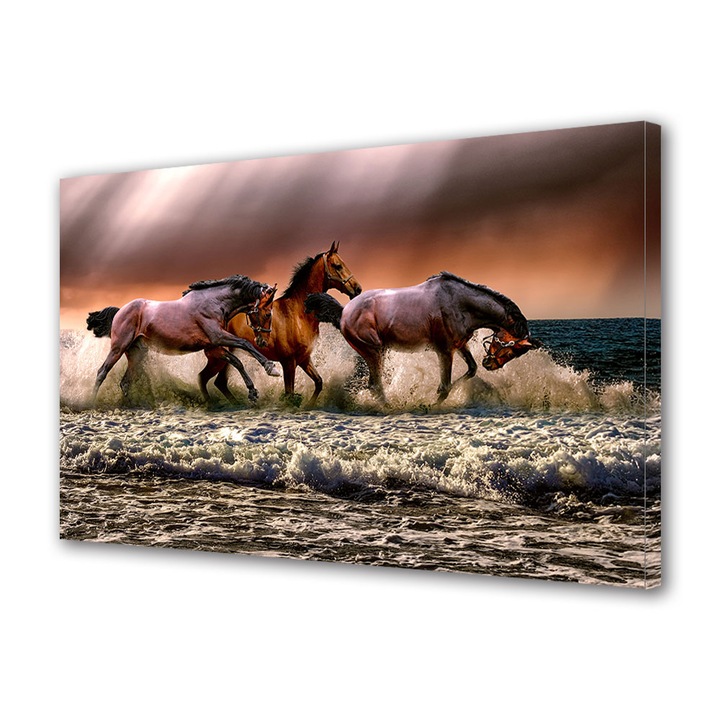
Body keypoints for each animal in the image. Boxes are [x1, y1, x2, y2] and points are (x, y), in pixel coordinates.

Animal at [86, 275, 280, 405]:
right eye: (268, 313)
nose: (263, 341)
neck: (215, 303)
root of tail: (120, 311)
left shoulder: (214, 347)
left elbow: (237, 361)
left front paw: (253, 392)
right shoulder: (218, 337)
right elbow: (244, 344)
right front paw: (271, 368)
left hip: (136, 354)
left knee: (125, 382)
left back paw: (131, 405)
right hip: (118, 348)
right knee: (102, 372)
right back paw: (91, 403)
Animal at [202, 241, 362, 406]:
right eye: (338, 266)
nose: (357, 289)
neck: (298, 314)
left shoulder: (304, 359)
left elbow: (319, 382)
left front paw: (308, 405)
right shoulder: (288, 363)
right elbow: (289, 394)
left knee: (218, 382)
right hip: (218, 358)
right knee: (206, 379)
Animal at [305, 271, 541, 405]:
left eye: (516, 353)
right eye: (510, 347)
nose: (490, 364)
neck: (460, 304)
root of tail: (343, 311)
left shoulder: (459, 345)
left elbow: (471, 370)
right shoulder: (444, 350)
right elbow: (445, 387)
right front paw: (430, 404)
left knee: (373, 384)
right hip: (374, 351)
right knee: (376, 385)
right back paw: (390, 408)